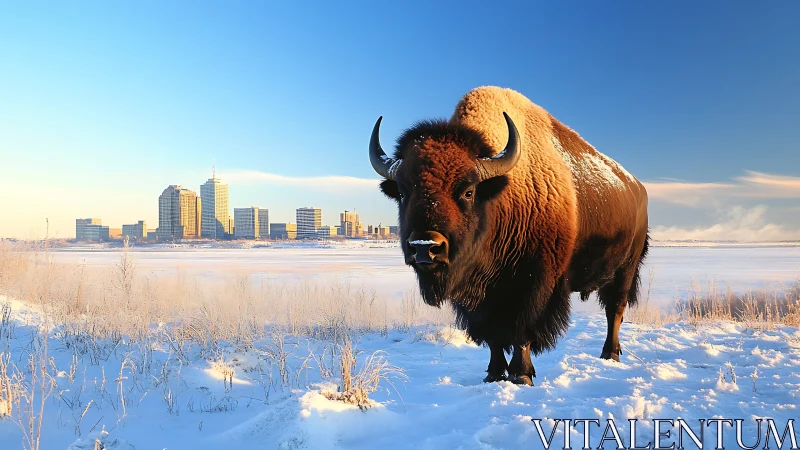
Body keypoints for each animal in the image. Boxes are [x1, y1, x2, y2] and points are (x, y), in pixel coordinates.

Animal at [369, 86, 649, 385]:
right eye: (402, 192)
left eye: (468, 191)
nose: (424, 247)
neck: (500, 196)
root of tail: (637, 188)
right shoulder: (480, 297)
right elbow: (493, 336)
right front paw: (493, 374)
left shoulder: (532, 283)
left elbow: (521, 331)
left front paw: (521, 375)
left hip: (626, 268)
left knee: (614, 310)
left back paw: (610, 354)